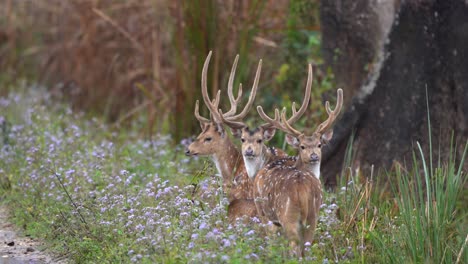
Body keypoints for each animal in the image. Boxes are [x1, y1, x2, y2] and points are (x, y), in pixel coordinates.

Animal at [254, 81, 346, 258]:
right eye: (302, 146)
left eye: (319, 144)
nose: (314, 155)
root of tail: (301, 189)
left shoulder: (263, 213)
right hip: (313, 215)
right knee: (307, 247)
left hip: (287, 216)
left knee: (294, 248)